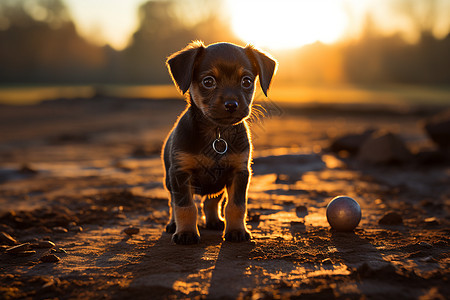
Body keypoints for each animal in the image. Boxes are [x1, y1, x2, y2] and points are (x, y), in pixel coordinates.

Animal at [163, 41, 276, 244]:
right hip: (170, 181)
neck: (217, 134)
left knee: (211, 200)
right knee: (173, 203)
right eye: (208, 82)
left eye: (246, 81)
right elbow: (185, 207)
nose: (231, 105)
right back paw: (173, 225)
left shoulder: (239, 173)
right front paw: (186, 233)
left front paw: (237, 230)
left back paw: (214, 221)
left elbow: (236, 206)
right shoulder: (180, 174)